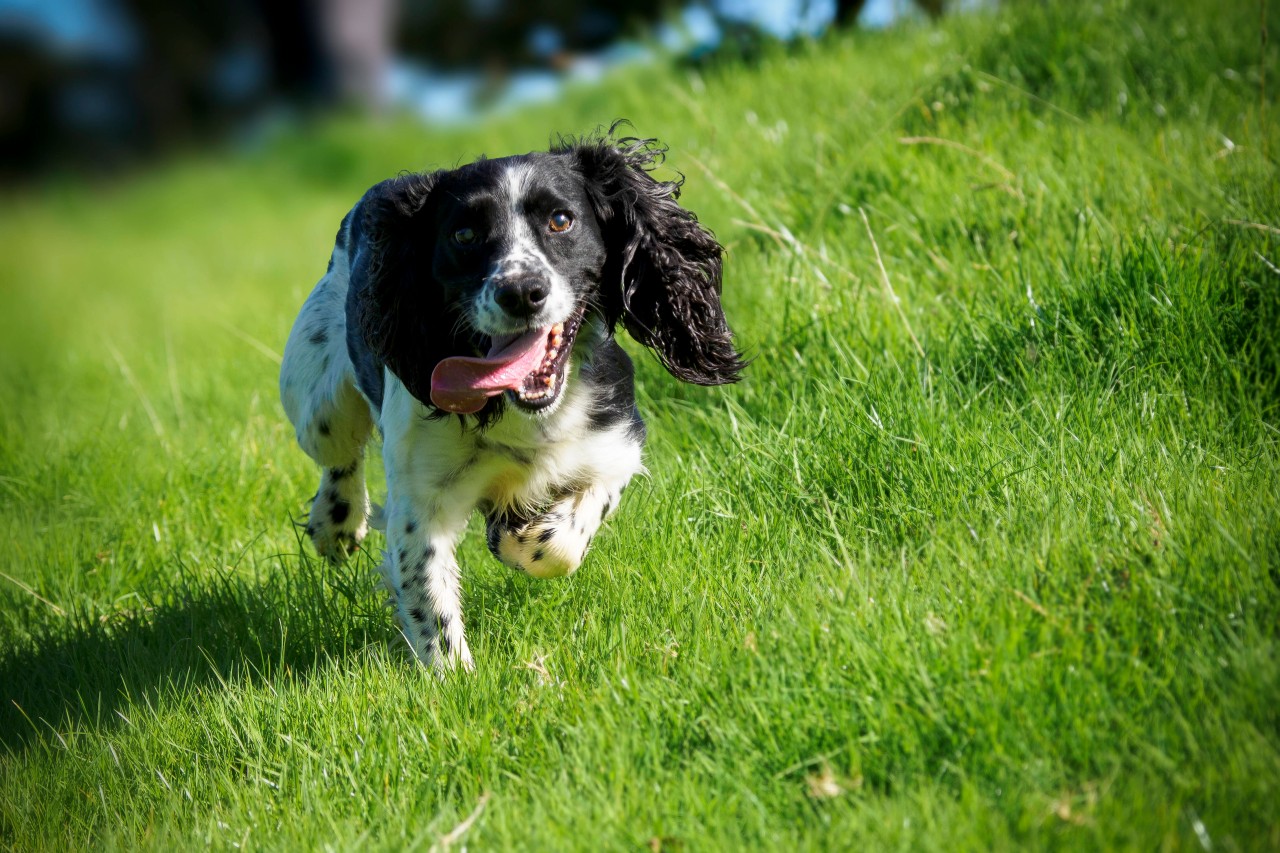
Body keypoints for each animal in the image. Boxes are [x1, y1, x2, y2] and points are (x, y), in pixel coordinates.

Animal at [277, 128, 742, 671]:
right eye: (464, 235)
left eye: (560, 219)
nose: (521, 291)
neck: (519, 408)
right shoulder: (422, 499)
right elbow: (427, 593)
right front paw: (452, 678)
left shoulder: (616, 443)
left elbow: (562, 540)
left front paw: (517, 535)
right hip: (318, 405)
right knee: (339, 456)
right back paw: (336, 523)